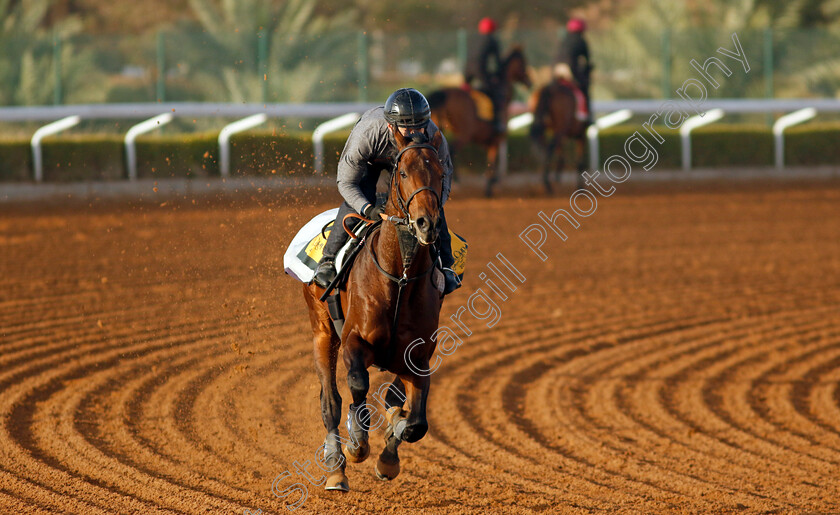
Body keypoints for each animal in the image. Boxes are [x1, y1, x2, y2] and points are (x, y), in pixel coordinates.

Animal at [302, 128, 446, 492]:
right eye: (403, 172)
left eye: (441, 173)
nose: (426, 223)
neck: (400, 277)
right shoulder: (355, 341)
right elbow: (356, 385)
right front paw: (357, 443)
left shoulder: (418, 356)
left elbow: (416, 422)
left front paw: (389, 454)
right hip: (322, 332)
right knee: (330, 401)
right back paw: (336, 467)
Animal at [426, 45, 532, 198]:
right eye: (523, 62)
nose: (530, 82)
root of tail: (442, 92)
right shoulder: (496, 140)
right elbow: (492, 164)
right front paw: (490, 187)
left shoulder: (490, 143)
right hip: (464, 134)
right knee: (451, 150)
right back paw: (456, 180)